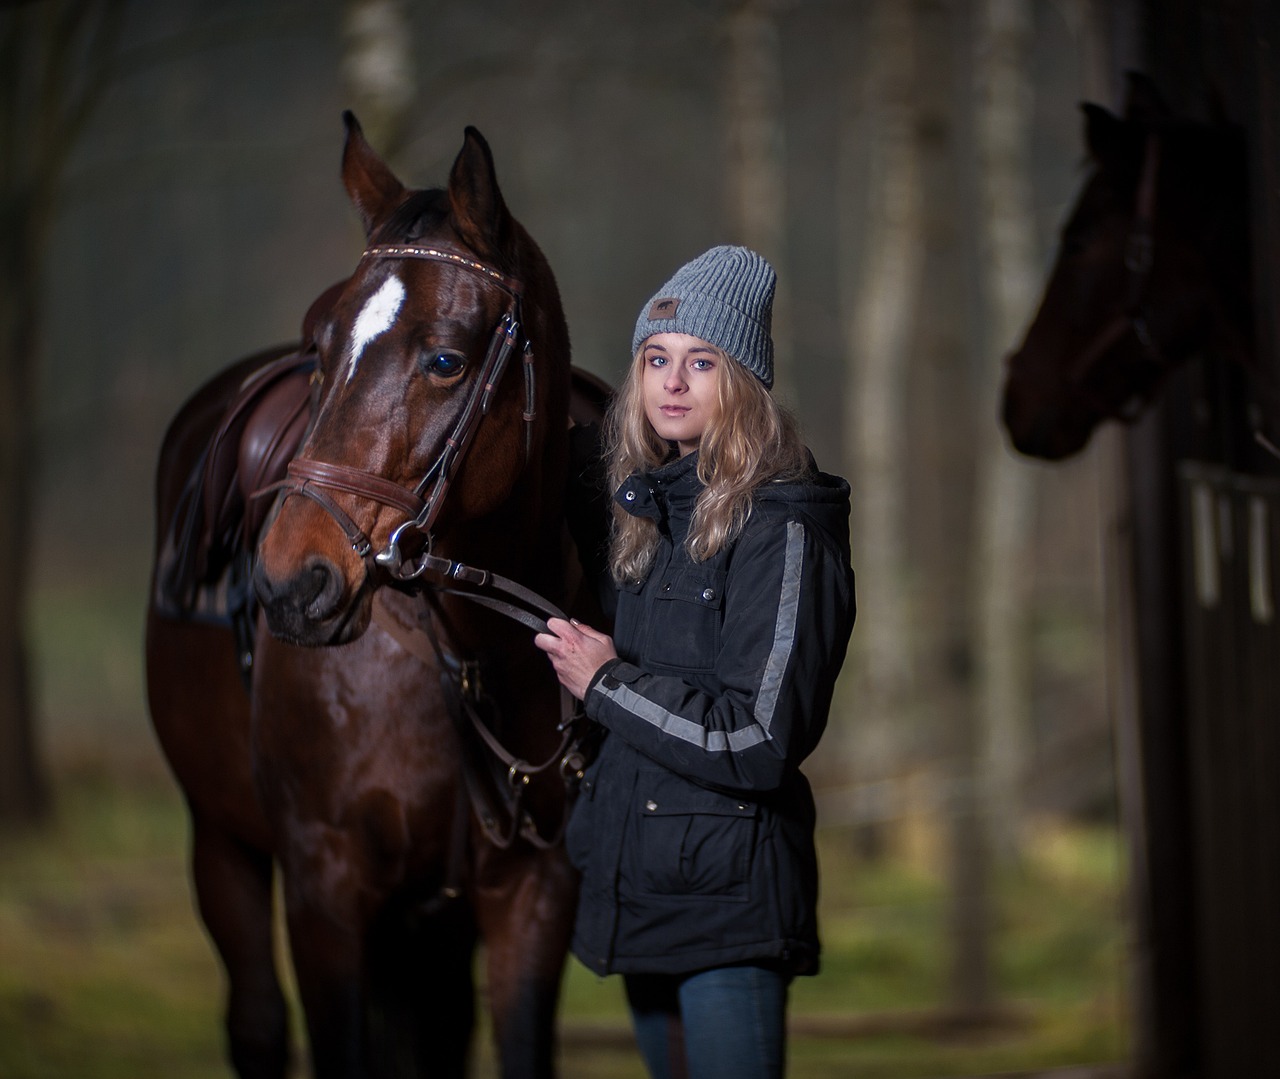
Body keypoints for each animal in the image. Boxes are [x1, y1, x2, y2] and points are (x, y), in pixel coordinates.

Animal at [145, 113, 599, 1075]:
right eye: (321, 347)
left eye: (446, 359)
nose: (291, 580)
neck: (466, 657)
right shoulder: (325, 887)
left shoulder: (534, 892)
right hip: (223, 842)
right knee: (257, 1020)